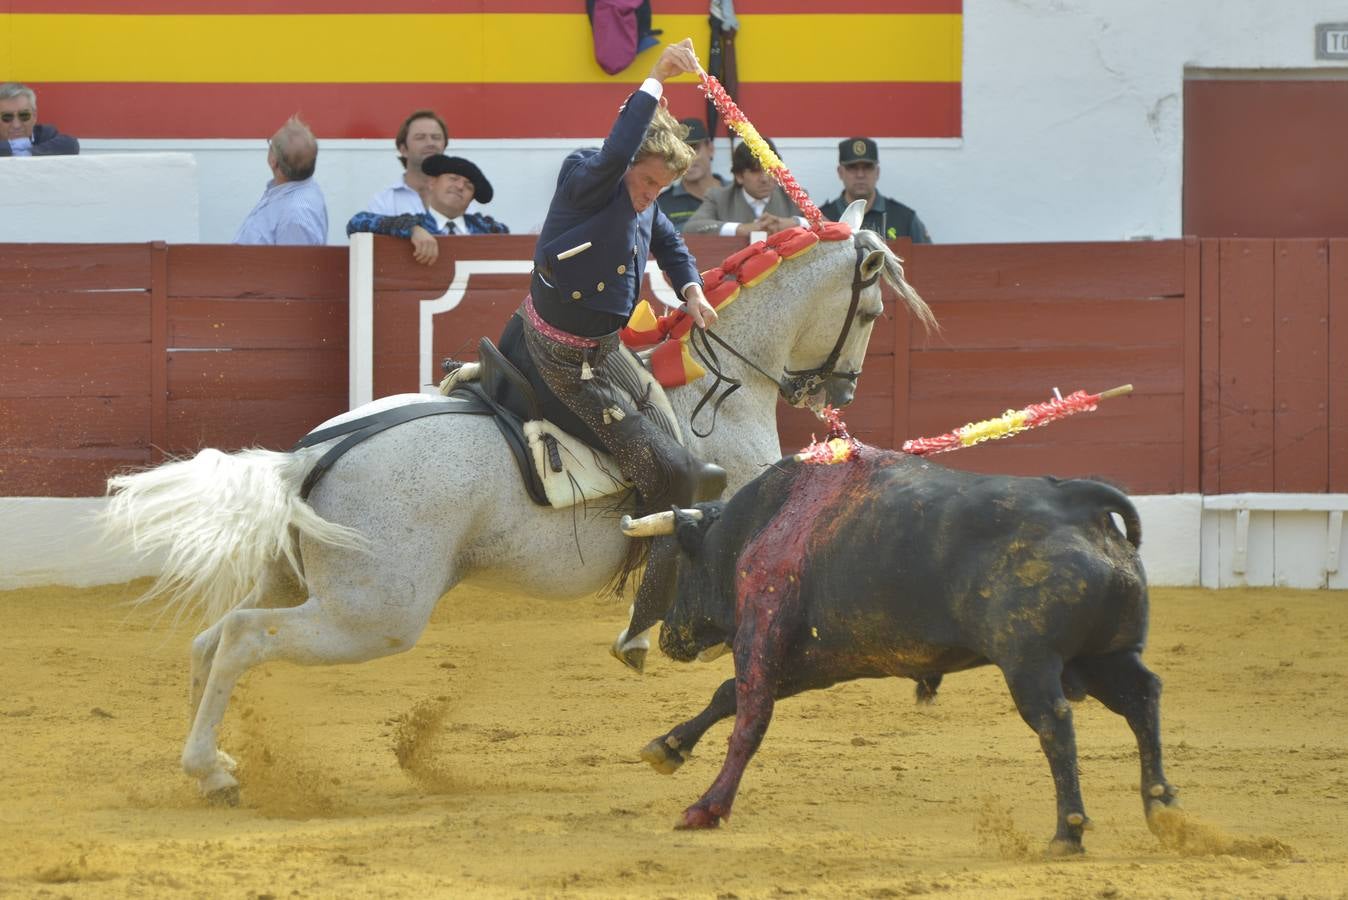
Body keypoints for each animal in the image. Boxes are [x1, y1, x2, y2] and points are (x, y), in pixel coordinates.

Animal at [105, 203, 932, 802]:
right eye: (870, 314)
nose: (840, 392)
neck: (718, 386)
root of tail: (307, 456)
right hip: (374, 613)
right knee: (244, 638)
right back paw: (211, 769)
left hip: (304, 584)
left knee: (212, 639)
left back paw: (213, 763)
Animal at [636, 447, 1175, 856]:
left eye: (683, 562)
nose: (668, 637)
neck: (760, 521)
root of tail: (1076, 503)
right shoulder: (810, 661)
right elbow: (729, 694)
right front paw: (667, 747)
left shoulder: (762, 632)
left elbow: (750, 717)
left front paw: (706, 808)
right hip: (1103, 657)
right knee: (1142, 698)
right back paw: (1162, 808)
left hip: (1031, 664)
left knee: (1055, 724)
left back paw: (1068, 832)